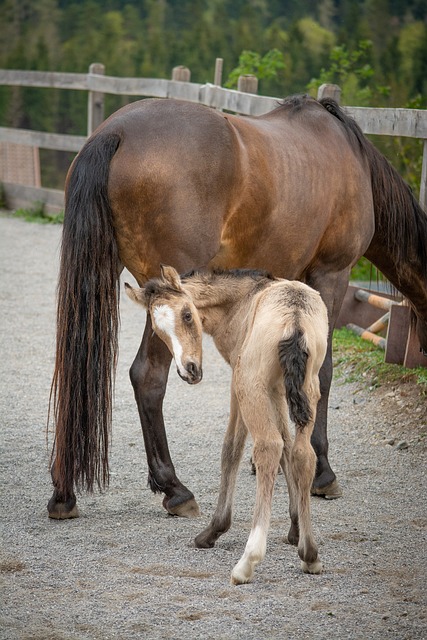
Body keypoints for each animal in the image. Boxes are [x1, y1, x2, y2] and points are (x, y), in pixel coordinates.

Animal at [47, 92, 427, 520]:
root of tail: (116, 132)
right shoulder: (332, 276)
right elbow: (322, 373)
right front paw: (321, 471)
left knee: (73, 367)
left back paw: (64, 493)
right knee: (147, 377)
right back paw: (174, 489)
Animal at [125, 266, 330, 584]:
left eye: (187, 314)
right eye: (158, 332)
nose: (189, 370)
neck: (242, 301)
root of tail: (294, 317)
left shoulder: (239, 383)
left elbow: (231, 450)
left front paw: (213, 531)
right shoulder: (277, 388)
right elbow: (287, 447)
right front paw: (295, 528)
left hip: (250, 386)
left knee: (268, 447)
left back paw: (248, 560)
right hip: (308, 388)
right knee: (301, 454)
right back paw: (310, 554)